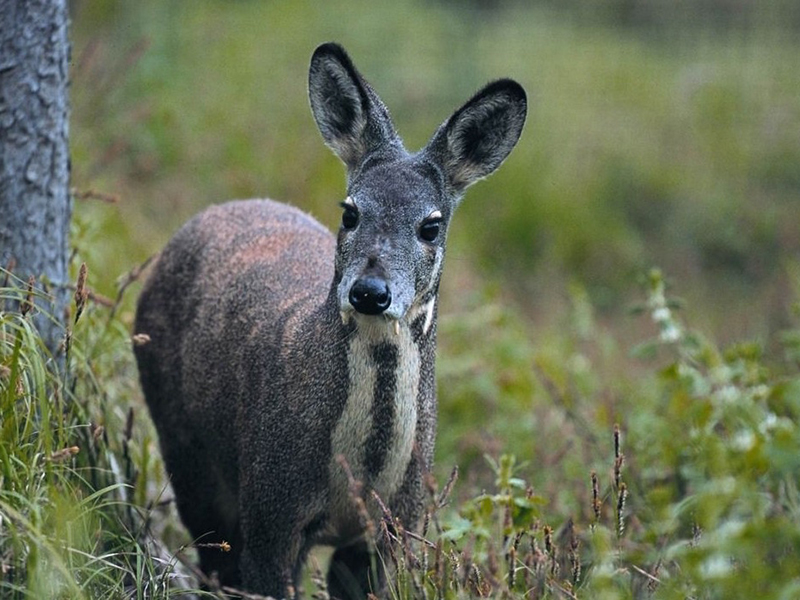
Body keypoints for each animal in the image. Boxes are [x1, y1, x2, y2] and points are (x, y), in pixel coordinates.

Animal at [133, 43, 524, 600]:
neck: (360, 476)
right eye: (350, 212)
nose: (370, 292)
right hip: (185, 447)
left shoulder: (395, 528)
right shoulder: (270, 509)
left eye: (431, 225)